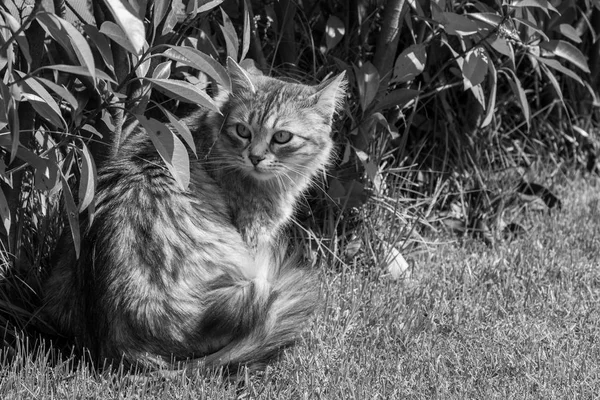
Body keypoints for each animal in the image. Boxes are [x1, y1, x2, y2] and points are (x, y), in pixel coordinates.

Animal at [43, 58, 346, 372]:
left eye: (282, 137)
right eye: (243, 131)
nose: (255, 157)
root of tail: (119, 350)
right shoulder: (254, 233)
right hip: (249, 284)